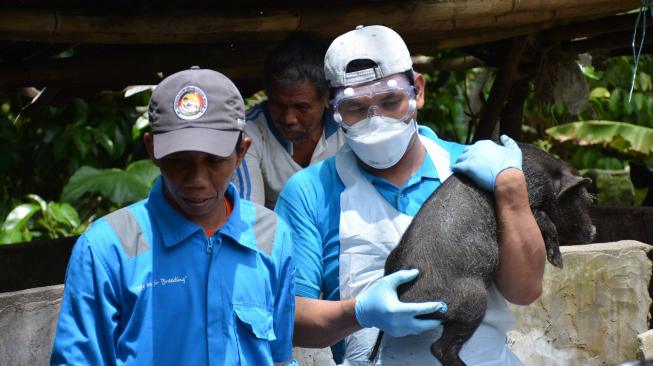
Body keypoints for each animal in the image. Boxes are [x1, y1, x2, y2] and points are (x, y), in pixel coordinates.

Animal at [370, 144, 592, 364]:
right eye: (580, 198)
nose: (593, 231)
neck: (546, 174)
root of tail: (401, 297)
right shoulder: (531, 196)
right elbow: (546, 221)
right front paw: (558, 263)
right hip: (472, 300)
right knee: (440, 348)